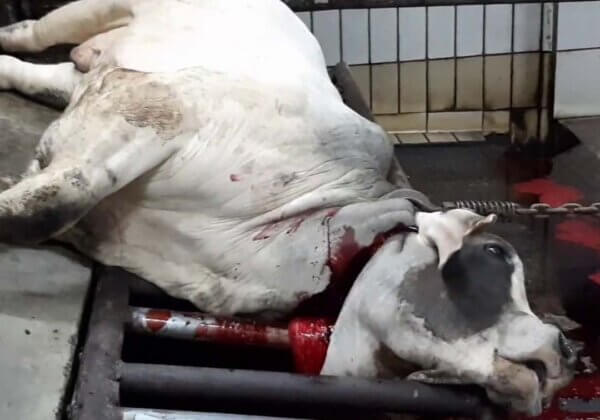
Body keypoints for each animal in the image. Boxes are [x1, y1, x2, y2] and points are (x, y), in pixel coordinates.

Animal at [0, 0, 576, 414]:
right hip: (98, 11)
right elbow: (57, 199)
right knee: (31, 33)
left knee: (43, 72)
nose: (569, 353)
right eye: (497, 253)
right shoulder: (158, 102)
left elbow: (47, 203)